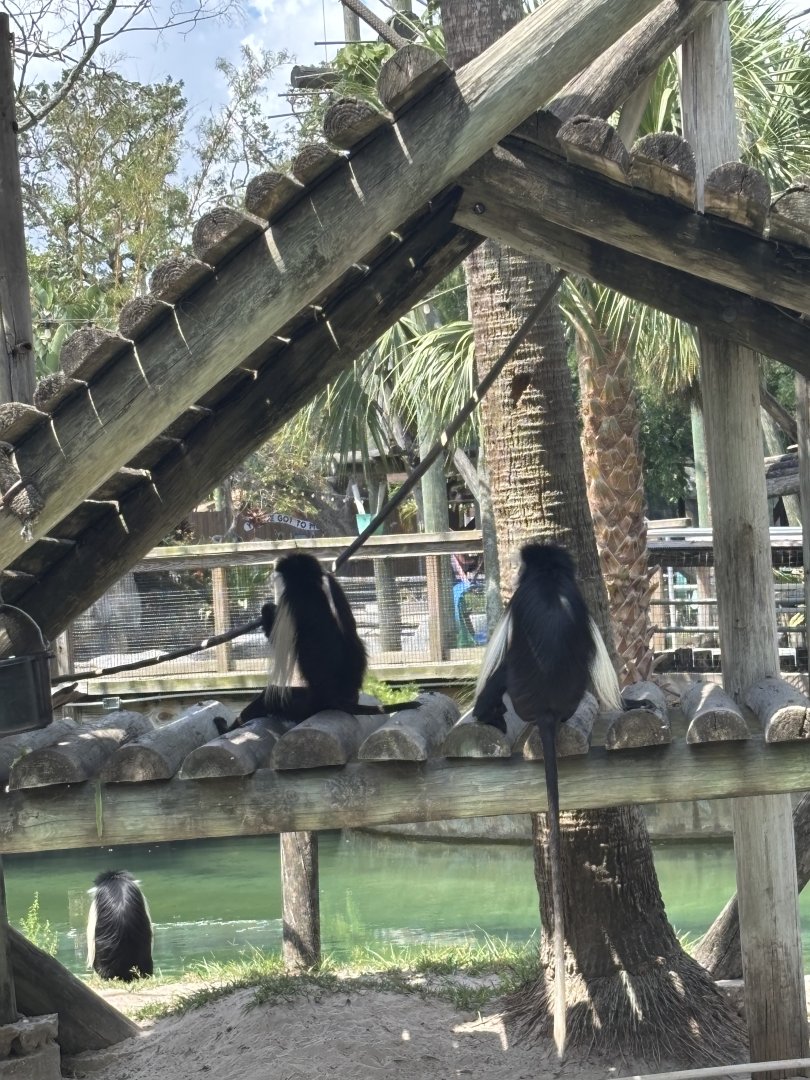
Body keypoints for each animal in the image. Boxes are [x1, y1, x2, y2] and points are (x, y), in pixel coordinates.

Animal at [237, 553, 419, 725]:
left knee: (267, 699)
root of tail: (341, 698)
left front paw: (267, 612)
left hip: (306, 703)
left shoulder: (291, 598)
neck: (312, 579)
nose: (271, 581)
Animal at [472, 542, 622, 1057]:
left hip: (516, 692)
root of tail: (550, 712)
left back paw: (486, 714)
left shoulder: (515, 605)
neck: (551, 578)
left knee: (498, 679)